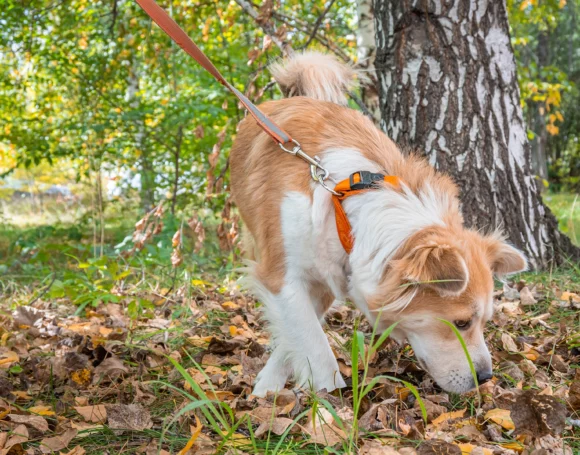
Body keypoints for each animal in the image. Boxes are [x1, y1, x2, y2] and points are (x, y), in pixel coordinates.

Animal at [229, 51, 528, 398]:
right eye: (462, 323)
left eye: (483, 322)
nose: (486, 377)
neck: (345, 206)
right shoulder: (282, 277)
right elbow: (316, 350)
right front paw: (331, 403)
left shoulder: (329, 277)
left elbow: (300, 334)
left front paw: (269, 387)